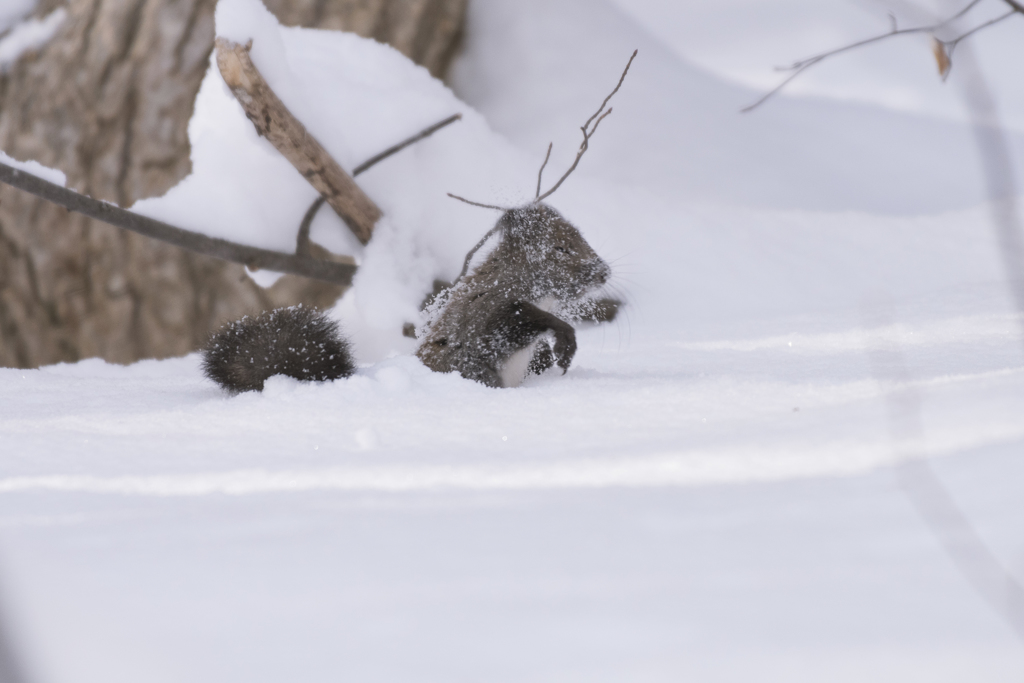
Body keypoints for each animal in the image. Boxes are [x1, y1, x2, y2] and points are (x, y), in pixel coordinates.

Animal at [203, 202, 610, 393]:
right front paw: (564, 338)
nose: (604, 270)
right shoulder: (488, 315)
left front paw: (553, 354)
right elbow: (516, 323)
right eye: (560, 248)